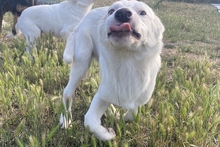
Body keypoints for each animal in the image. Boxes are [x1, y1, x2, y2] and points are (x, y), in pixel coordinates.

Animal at [59, 0, 163, 141]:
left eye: (143, 12)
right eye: (111, 11)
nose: (122, 13)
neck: (127, 61)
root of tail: (82, 21)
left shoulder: (139, 97)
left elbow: (133, 113)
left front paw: (120, 117)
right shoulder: (102, 94)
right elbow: (90, 122)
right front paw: (108, 134)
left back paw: (112, 111)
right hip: (81, 63)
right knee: (67, 92)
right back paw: (66, 119)